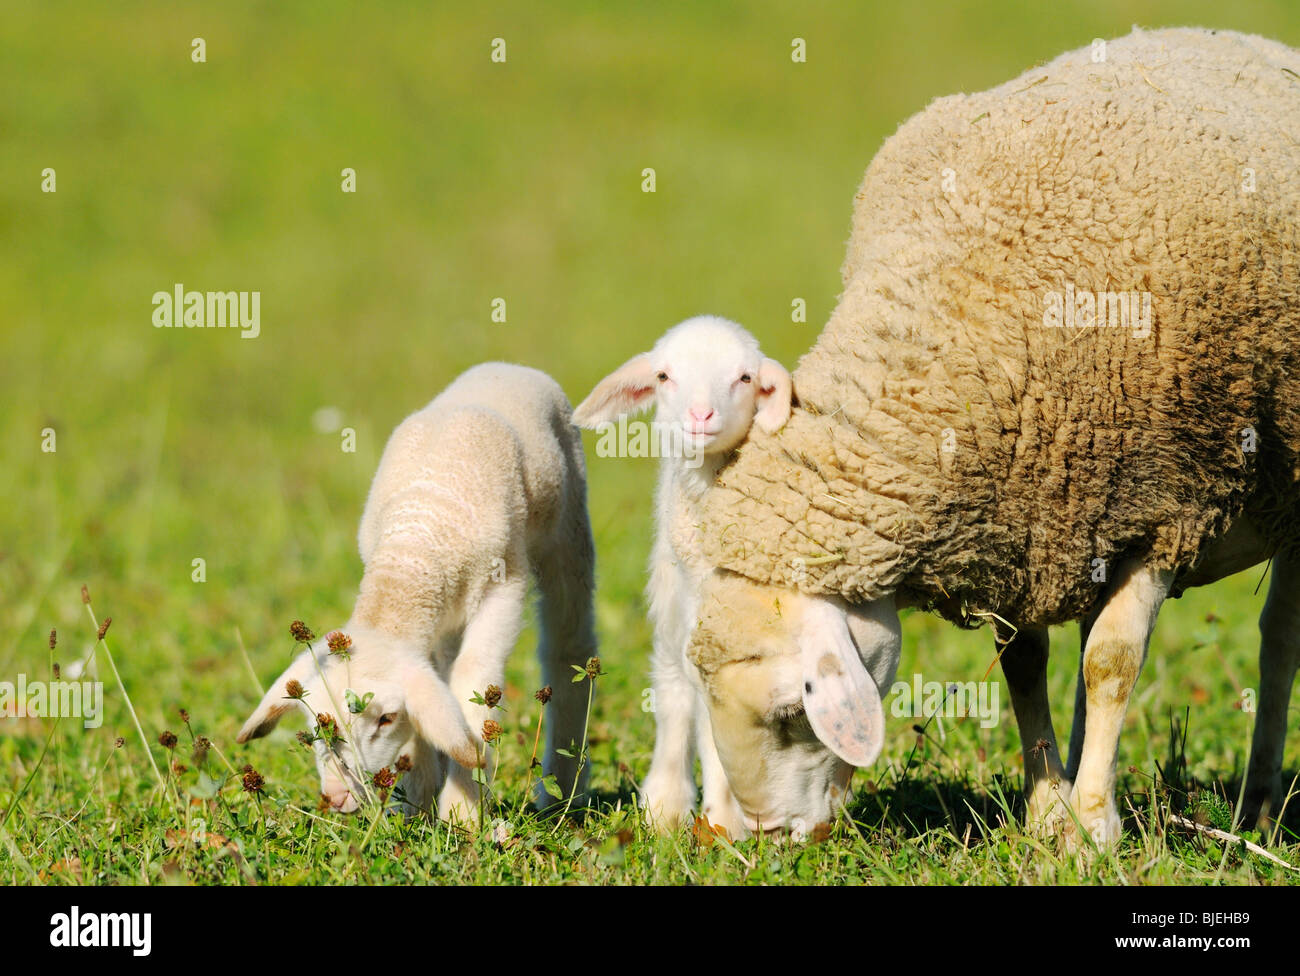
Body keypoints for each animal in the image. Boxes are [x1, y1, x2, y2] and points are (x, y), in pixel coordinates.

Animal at [237, 363, 595, 821]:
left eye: (386, 718)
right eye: (315, 724)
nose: (337, 797)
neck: (417, 541)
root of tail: (508, 367)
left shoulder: (504, 588)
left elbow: (473, 682)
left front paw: (462, 811)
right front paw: (417, 802)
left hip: (567, 530)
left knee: (568, 646)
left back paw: (564, 792)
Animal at [572, 317, 790, 836]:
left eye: (746, 378)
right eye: (664, 376)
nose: (700, 415)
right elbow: (709, 726)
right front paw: (725, 822)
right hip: (672, 621)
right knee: (674, 700)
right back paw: (666, 805)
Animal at [681, 28, 1300, 847]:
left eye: (792, 713)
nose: (763, 841)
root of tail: (1249, 38)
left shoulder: (1173, 502)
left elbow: (1111, 663)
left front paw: (1093, 828)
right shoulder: (1024, 516)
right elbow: (1026, 663)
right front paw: (1049, 813)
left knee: (1278, 636)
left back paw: (1259, 803)